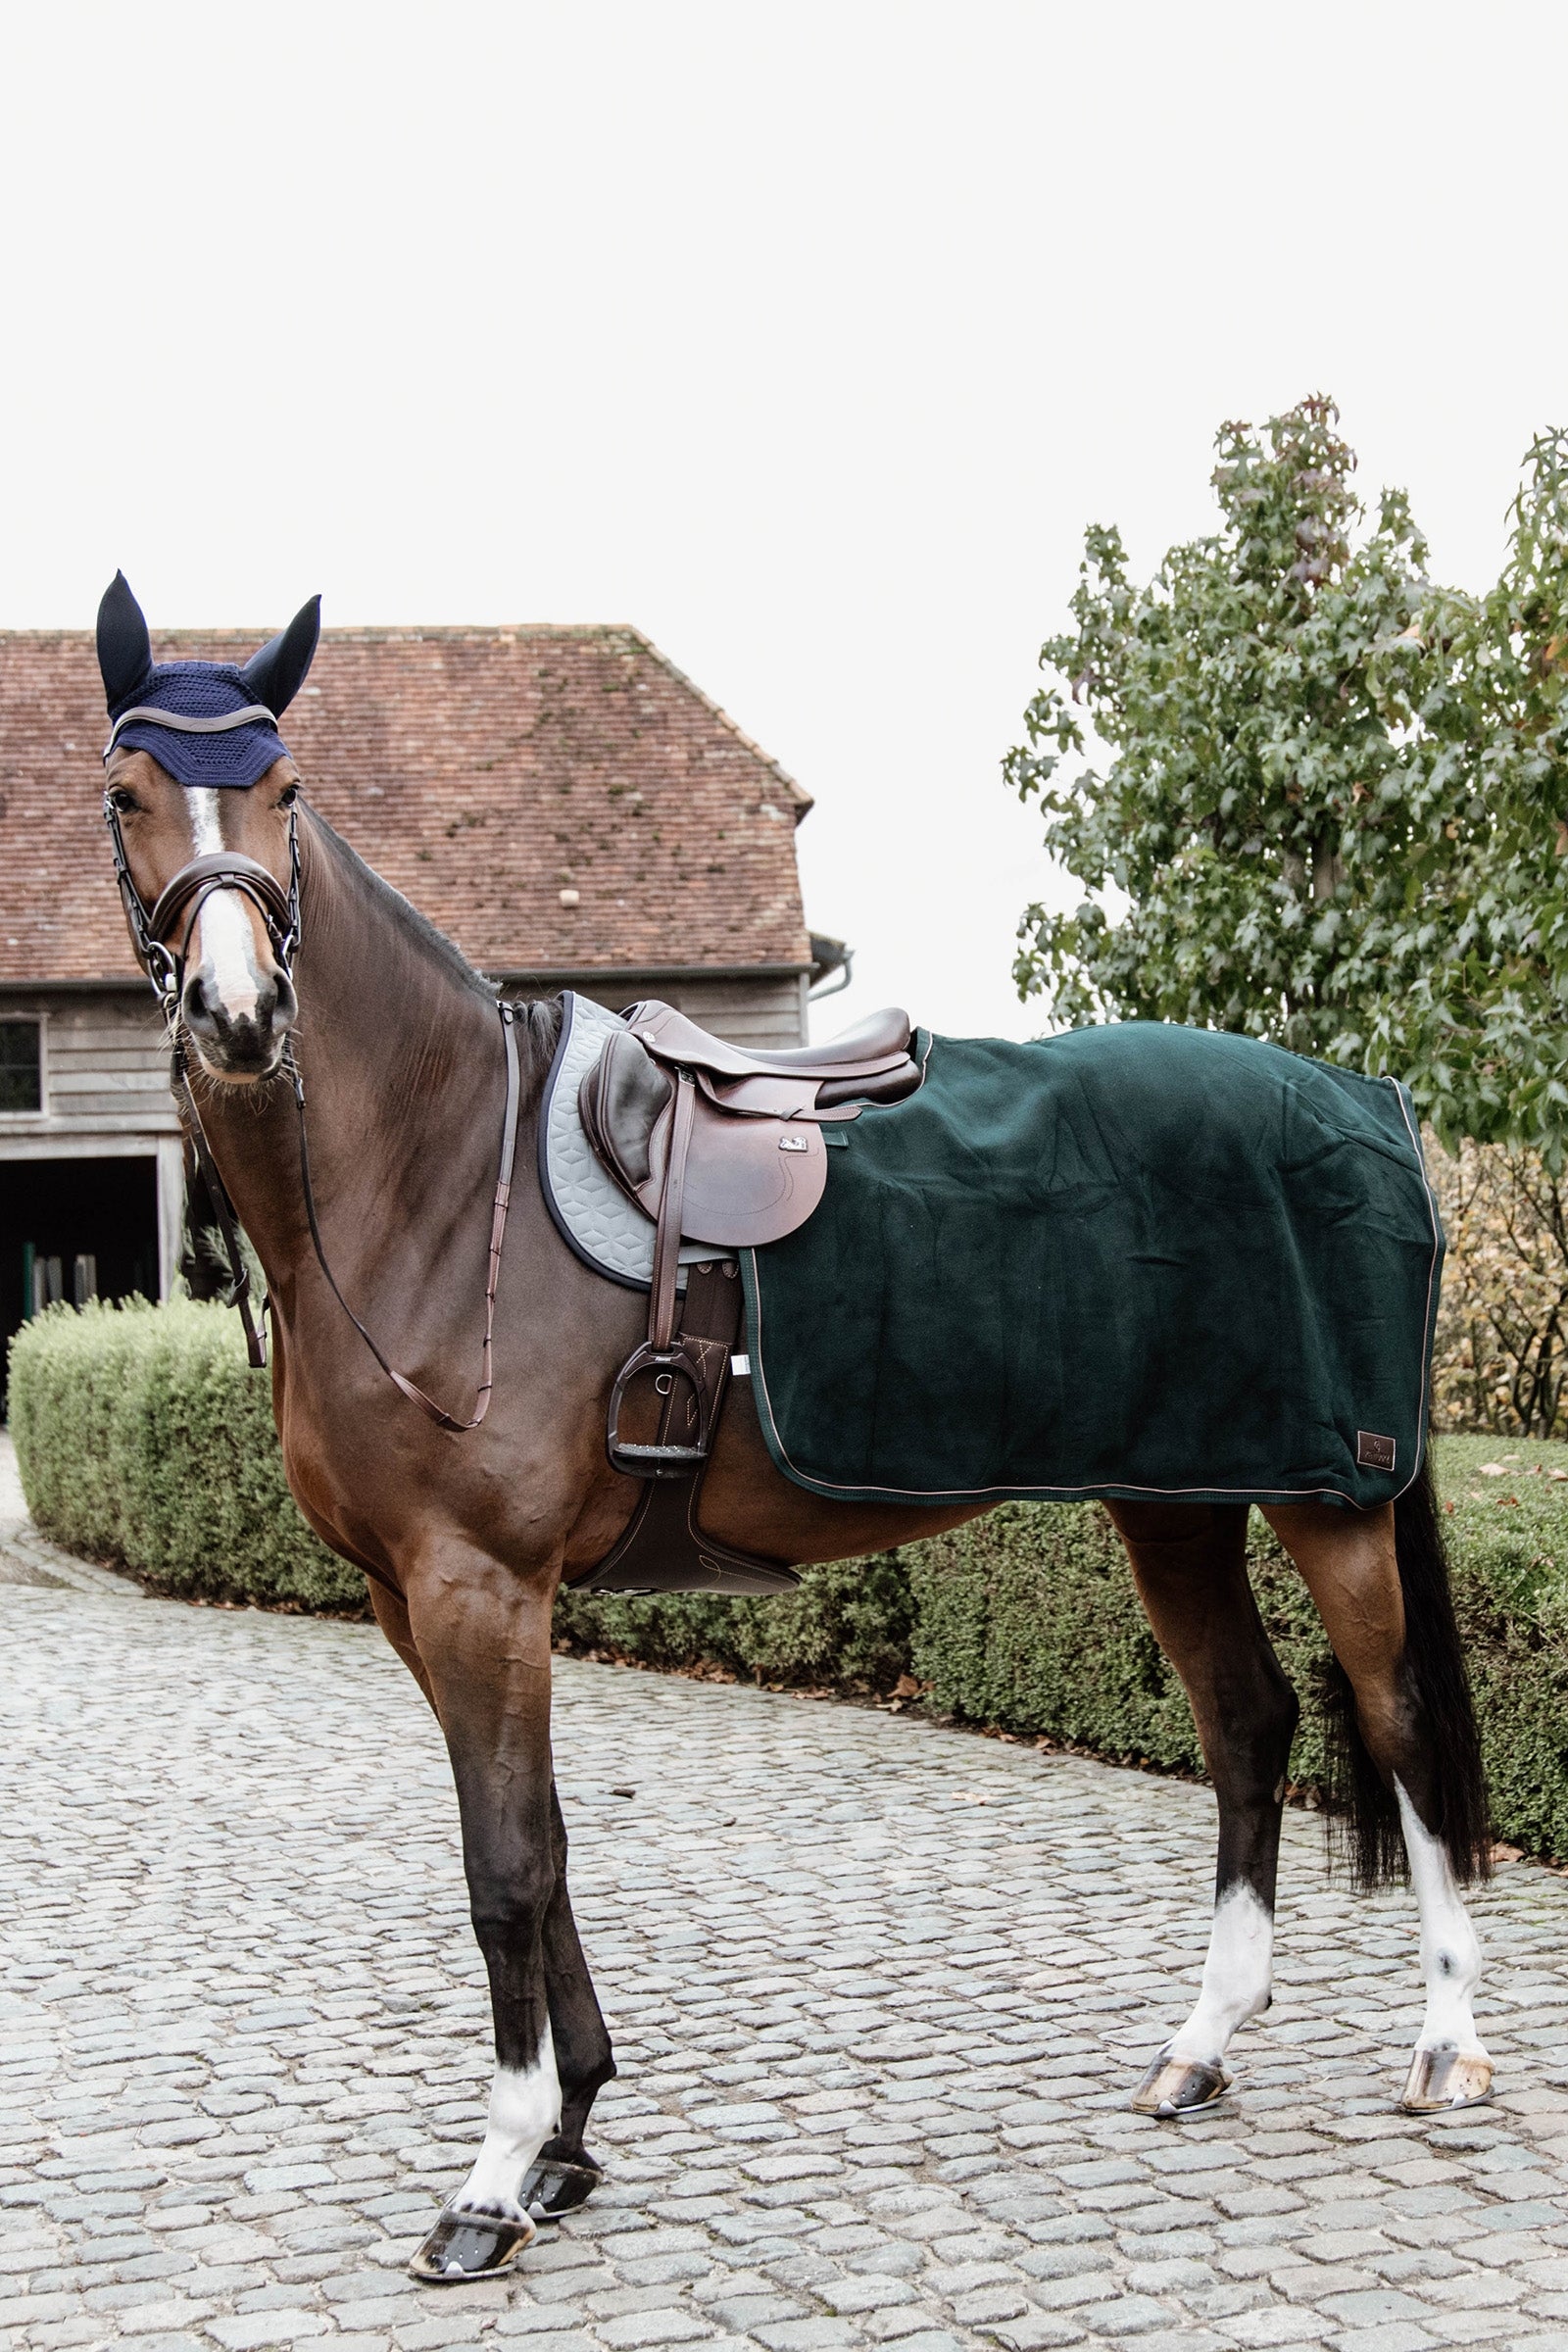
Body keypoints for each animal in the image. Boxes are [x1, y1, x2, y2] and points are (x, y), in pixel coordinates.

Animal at [89, 575, 1493, 2285]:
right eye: (125, 793)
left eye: (284, 794)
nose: (239, 1015)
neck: (439, 1175)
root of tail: (1370, 1104)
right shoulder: (413, 1599)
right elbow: (548, 1851)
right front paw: (571, 2139)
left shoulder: (482, 1587)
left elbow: (504, 1871)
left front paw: (493, 2181)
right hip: (1174, 1500)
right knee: (1250, 1726)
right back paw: (1200, 2048)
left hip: (1329, 1499)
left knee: (1401, 1728)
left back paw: (1448, 2048)